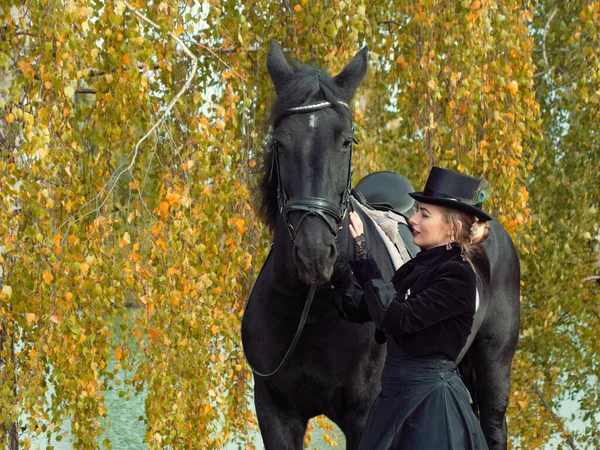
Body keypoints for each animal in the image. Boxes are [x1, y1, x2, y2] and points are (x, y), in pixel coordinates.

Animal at [241, 39, 516, 450]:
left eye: (346, 140)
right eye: (279, 142)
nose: (315, 253)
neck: (311, 311)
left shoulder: (364, 414)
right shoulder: (275, 413)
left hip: (494, 365)